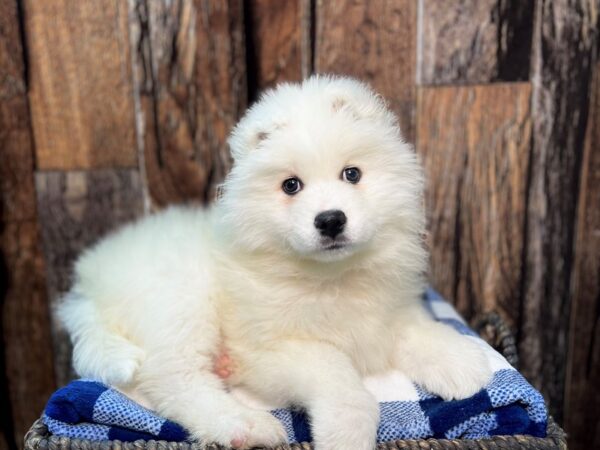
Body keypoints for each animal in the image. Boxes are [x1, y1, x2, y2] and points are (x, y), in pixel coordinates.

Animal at [59, 77, 492, 450]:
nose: (330, 220)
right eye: (291, 186)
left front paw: (464, 363)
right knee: (174, 379)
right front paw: (347, 435)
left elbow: (416, 328)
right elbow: (337, 374)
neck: (330, 276)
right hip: (181, 300)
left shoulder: (386, 311)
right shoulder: (271, 348)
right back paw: (244, 424)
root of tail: (89, 283)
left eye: (352, 174)